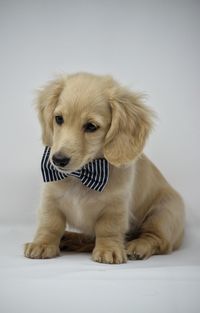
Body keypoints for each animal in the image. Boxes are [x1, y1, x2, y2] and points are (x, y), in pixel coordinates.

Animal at [24, 72, 185, 262]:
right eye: (59, 119)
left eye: (91, 126)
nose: (58, 160)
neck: (82, 174)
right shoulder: (50, 200)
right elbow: (50, 225)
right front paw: (42, 244)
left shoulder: (115, 207)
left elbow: (108, 230)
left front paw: (109, 250)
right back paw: (70, 238)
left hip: (164, 212)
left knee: (156, 239)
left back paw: (137, 246)